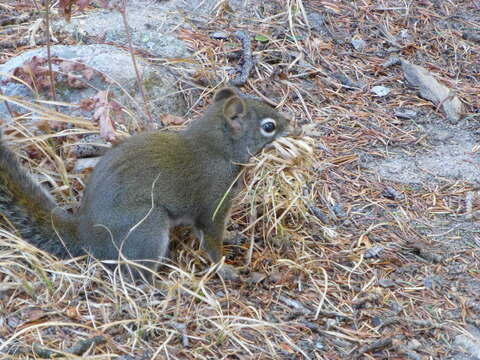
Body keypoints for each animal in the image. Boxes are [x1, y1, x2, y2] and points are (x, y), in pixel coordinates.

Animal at [0, 87, 288, 282]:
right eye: (268, 127)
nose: (292, 124)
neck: (216, 147)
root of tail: (86, 234)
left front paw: (231, 236)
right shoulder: (212, 202)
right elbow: (210, 238)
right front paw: (225, 268)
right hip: (147, 227)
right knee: (137, 274)